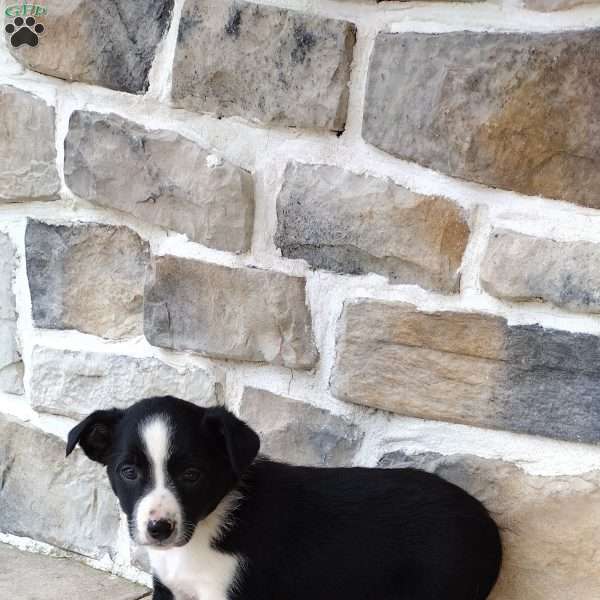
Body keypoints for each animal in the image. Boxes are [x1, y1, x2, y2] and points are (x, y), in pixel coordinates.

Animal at [67, 398, 502, 600]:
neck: (205, 529)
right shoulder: (170, 590)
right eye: (128, 472)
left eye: (192, 476)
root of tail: (488, 523)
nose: (158, 528)